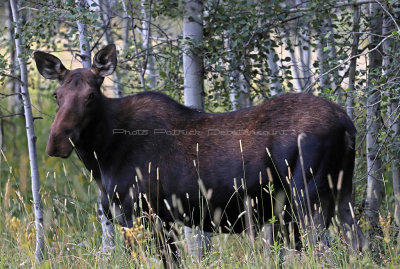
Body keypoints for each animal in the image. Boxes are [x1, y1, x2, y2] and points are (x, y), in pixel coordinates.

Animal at [34, 44, 366, 266]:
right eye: (57, 95)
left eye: (90, 96)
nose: (56, 142)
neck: (101, 158)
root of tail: (348, 125)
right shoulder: (156, 218)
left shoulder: (141, 214)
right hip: (341, 193)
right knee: (357, 245)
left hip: (307, 196)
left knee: (325, 252)